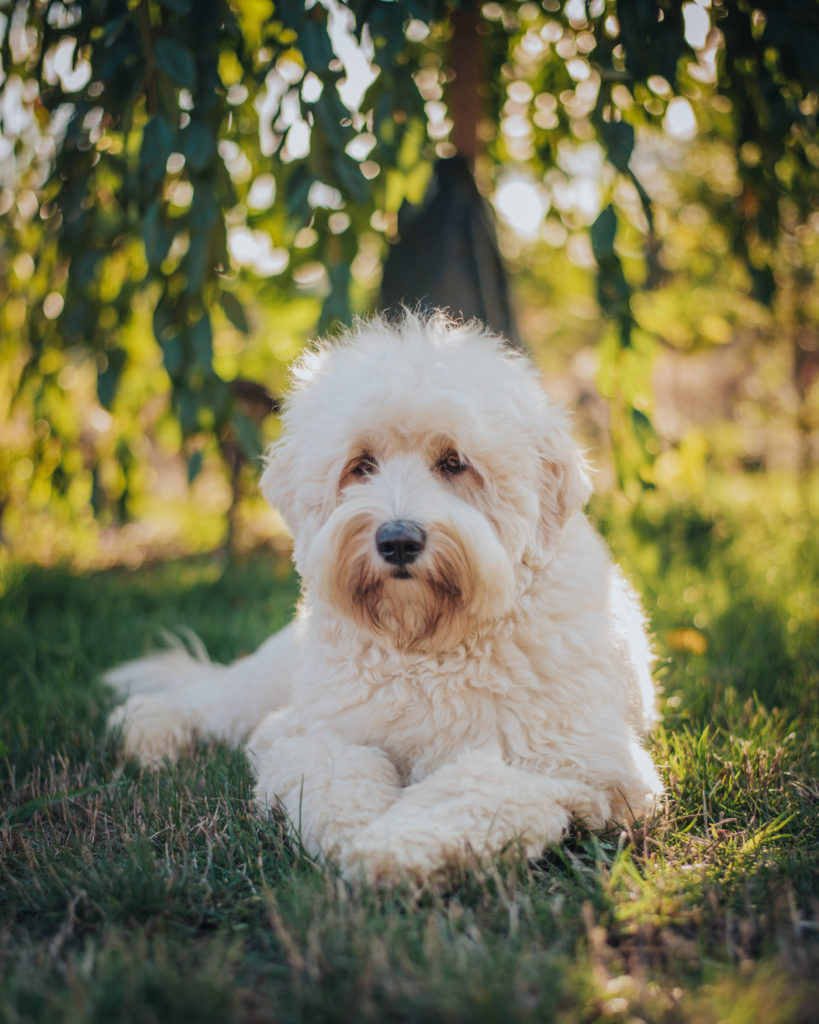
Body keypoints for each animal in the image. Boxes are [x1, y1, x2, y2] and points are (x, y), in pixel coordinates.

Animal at [106, 313, 659, 880]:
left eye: (454, 462)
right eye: (362, 464)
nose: (397, 541)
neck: (425, 650)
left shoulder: (577, 765)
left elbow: (471, 790)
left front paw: (391, 844)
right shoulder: (306, 732)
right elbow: (336, 773)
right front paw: (352, 830)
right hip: (269, 680)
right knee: (203, 700)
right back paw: (149, 732)